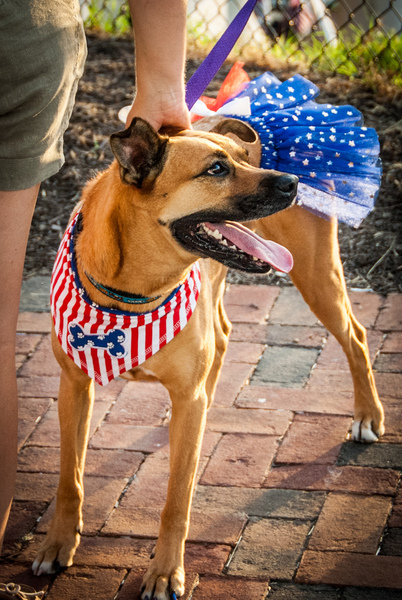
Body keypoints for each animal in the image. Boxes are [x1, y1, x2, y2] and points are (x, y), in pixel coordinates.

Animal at [30, 118, 384, 600]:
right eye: (216, 169)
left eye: (244, 158)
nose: (293, 182)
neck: (134, 290)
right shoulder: (74, 386)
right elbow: (70, 479)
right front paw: (58, 544)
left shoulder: (181, 397)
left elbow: (176, 501)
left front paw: (165, 573)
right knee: (223, 336)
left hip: (316, 276)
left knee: (357, 336)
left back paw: (368, 415)